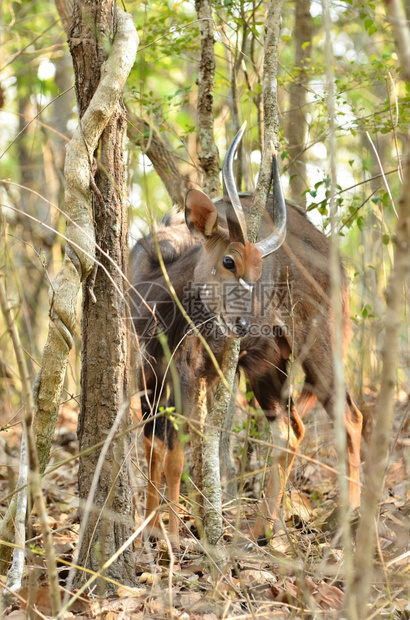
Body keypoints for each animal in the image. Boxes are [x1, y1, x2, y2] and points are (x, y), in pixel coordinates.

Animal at [131, 124, 362, 548]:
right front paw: (148, 531)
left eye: (259, 267)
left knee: (349, 416)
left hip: (318, 353)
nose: (244, 324)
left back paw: (346, 519)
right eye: (229, 260)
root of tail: (337, 263)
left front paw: (170, 536)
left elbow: (175, 454)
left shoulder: (187, 374)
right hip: (265, 367)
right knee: (290, 431)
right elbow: (153, 446)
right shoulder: (148, 374)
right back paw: (260, 531)